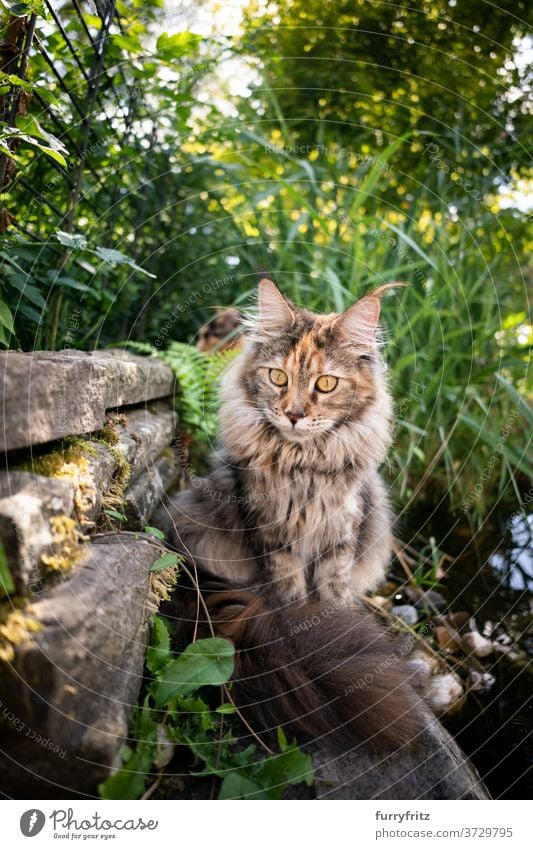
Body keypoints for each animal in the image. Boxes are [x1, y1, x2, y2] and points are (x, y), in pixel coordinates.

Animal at [167, 276, 394, 604]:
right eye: (277, 377)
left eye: (326, 383)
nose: (293, 414)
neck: (302, 461)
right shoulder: (268, 526)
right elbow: (286, 584)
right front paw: (293, 609)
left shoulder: (341, 530)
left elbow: (334, 584)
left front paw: (333, 610)